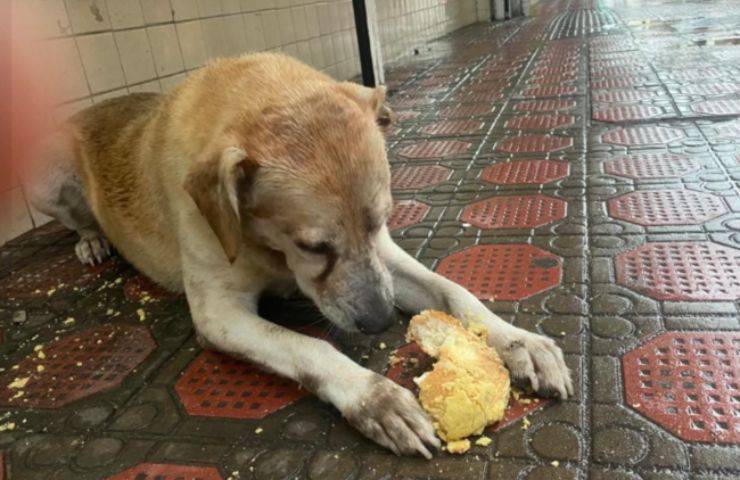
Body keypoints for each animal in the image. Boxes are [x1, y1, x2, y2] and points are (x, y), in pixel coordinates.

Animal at [27, 52, 572, 458]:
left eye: (382, 219)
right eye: (313, 246)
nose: (380, 321)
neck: (265, 247)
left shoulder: (383, 257)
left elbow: (456, 291)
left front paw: (517, 341)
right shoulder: (218, 314)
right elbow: (311, 347)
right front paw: (372, 397)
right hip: (45, 183)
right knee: (78, 220)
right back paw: (91, 239)